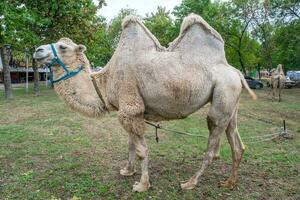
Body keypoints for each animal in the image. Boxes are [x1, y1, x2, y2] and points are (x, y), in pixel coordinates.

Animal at [34, 13, 256, 192]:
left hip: (223, 94)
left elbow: (141, 150)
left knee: (213, 144)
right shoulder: (130, 112)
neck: (104, 82)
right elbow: (131, 144)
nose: (37, 50)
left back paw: (190, 183)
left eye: (63, 47)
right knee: (237, 143)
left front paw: (142, 185)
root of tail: (236, 71)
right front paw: (127, 171)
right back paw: (229, 183)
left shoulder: (130, 107)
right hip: (231, 101)